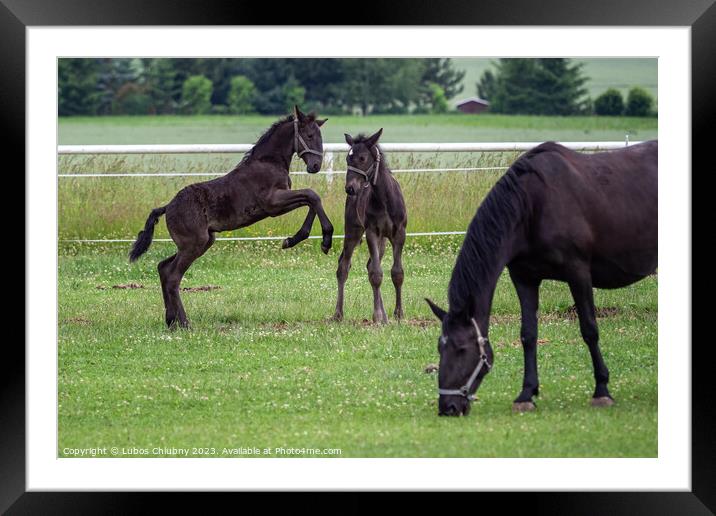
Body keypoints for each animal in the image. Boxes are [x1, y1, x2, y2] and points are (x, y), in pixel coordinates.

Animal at [129, 107, 332, 328]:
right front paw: (325, 240)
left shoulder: (279, 202)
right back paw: (184, 323)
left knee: (163, 268)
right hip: (194, 244)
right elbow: (312, 195)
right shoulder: (272, 203)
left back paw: (170, 321)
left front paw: (293, 240)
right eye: (309, 136)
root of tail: (168, 207)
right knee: (173, 276)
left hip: (202, 242)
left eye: (320, 137)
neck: (268, 162)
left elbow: (310, 200)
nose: (315, 165)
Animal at [332, 129, 406, 322]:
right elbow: (376, 274)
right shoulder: (372, 232)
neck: (385, 199)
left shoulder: (399, 234)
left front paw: (398, 313)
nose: (350, 188)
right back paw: (338, 314)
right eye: (347, 158)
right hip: (353, 231)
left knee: (370, 264)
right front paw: (377, 316)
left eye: (363, 158)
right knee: (343, 267)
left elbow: (397, 273)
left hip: (383, 241)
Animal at [428, 140, 656, 416]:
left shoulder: (578, 272)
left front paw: (602, 390)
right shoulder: (524, 278)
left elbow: (589, 329)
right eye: (440, 347)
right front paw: (526, 394)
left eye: (461, 349)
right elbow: (528, 335)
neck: (533, 204)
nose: (448, 407)